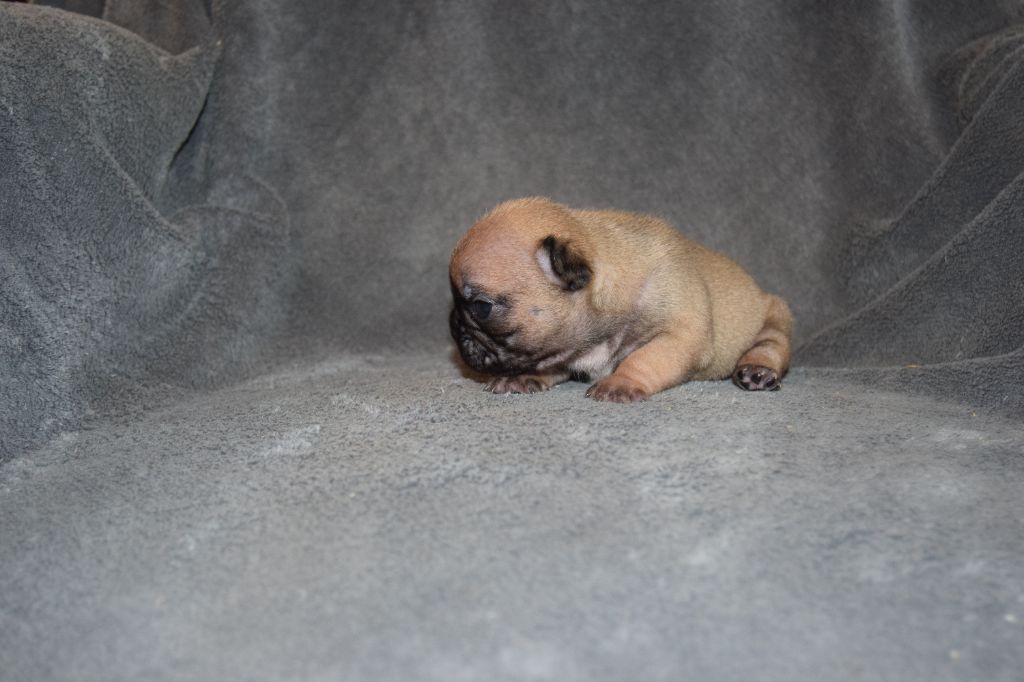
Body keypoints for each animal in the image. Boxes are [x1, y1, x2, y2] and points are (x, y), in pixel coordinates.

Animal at [449, 197, 792, 402]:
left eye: (482, 306)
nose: (453, 325)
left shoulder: (680, 336)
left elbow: (643, 358)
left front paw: (620, 382)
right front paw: (524, 377)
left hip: (775, 318)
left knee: (770, 346)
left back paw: (758, 372)